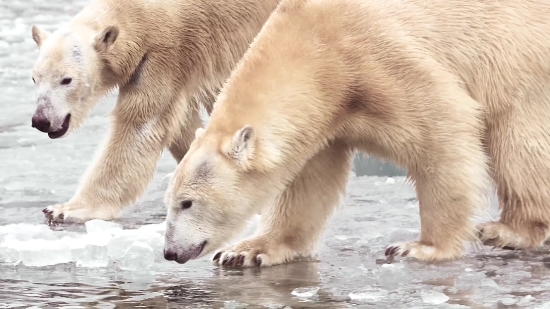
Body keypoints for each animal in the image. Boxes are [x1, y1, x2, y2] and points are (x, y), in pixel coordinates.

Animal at [30, 0, 282, 223]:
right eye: (34, 78)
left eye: (66, 80)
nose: (41, 120)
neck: (137, 14)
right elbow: (181, 125)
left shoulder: (164, 56)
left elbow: (139, 127)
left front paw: (66, 209)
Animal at [164, 0, 550, 266]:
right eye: (169, 200)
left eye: (188, 202)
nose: (169, 252)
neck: (313, 48)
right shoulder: (325, 114)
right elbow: (308, 183)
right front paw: (246, 252)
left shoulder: (375, 57)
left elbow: (443, 124)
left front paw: (420, 247)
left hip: (519, 61)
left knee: (519, 142)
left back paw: (508, 230)